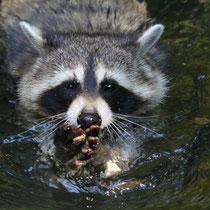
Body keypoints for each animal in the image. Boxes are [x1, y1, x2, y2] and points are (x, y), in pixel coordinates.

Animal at [0, 0, 169, 177]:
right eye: (70, 85)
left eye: (109, 86)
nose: (89, 119)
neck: (90, 31)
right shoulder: (31, 113)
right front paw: (64, 151)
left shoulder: (149, 117)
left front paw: (107, 155)